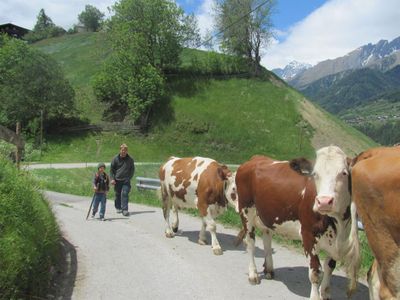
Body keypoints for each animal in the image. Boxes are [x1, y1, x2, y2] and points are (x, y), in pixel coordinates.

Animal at [236, 145, 360, 298]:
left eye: (344, 173)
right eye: (314, 174)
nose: (324, 201)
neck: (337, 224)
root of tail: (254, 159)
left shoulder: (337, 242)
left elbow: (329, 268)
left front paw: (324, 294)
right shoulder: (308, 235)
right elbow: (315, 273)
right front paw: (315, 297)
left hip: (267, 215)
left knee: (267, 240)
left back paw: (269, 270)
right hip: (246, 211)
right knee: (250, 242)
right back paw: (253, 274)